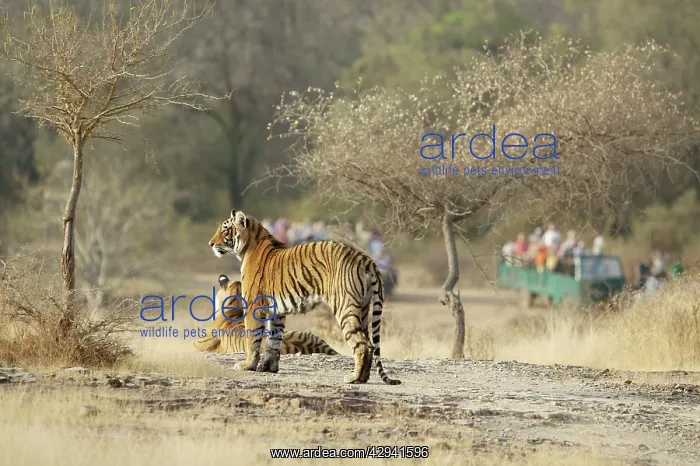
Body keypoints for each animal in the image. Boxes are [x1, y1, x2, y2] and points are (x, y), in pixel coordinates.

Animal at [208, 209, 401, 385]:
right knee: (370, 344)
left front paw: (247, 365)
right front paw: (268, 368)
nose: (210, 243)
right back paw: (363, 377)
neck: (248, 245)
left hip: (345, 307)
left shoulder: (254, 306)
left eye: (225, 230)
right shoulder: (276, 312)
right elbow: (273, 341)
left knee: (362, 344)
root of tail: (365, 258)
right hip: (363, 309)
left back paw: (354, 378)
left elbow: (252, 340)